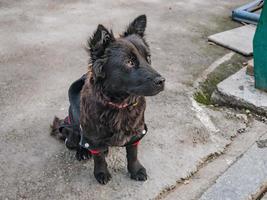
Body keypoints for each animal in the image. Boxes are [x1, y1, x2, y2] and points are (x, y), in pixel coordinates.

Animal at [51, 14, 165, 185]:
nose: (162, 81)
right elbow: (98, 157)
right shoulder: (92, 135)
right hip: (73, 127)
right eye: (129, 62)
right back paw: (82, 151)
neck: (120, 104)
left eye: (148, 58)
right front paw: (101, 172)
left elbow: (133, 153)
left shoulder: (137, 132)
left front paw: (135, 170)